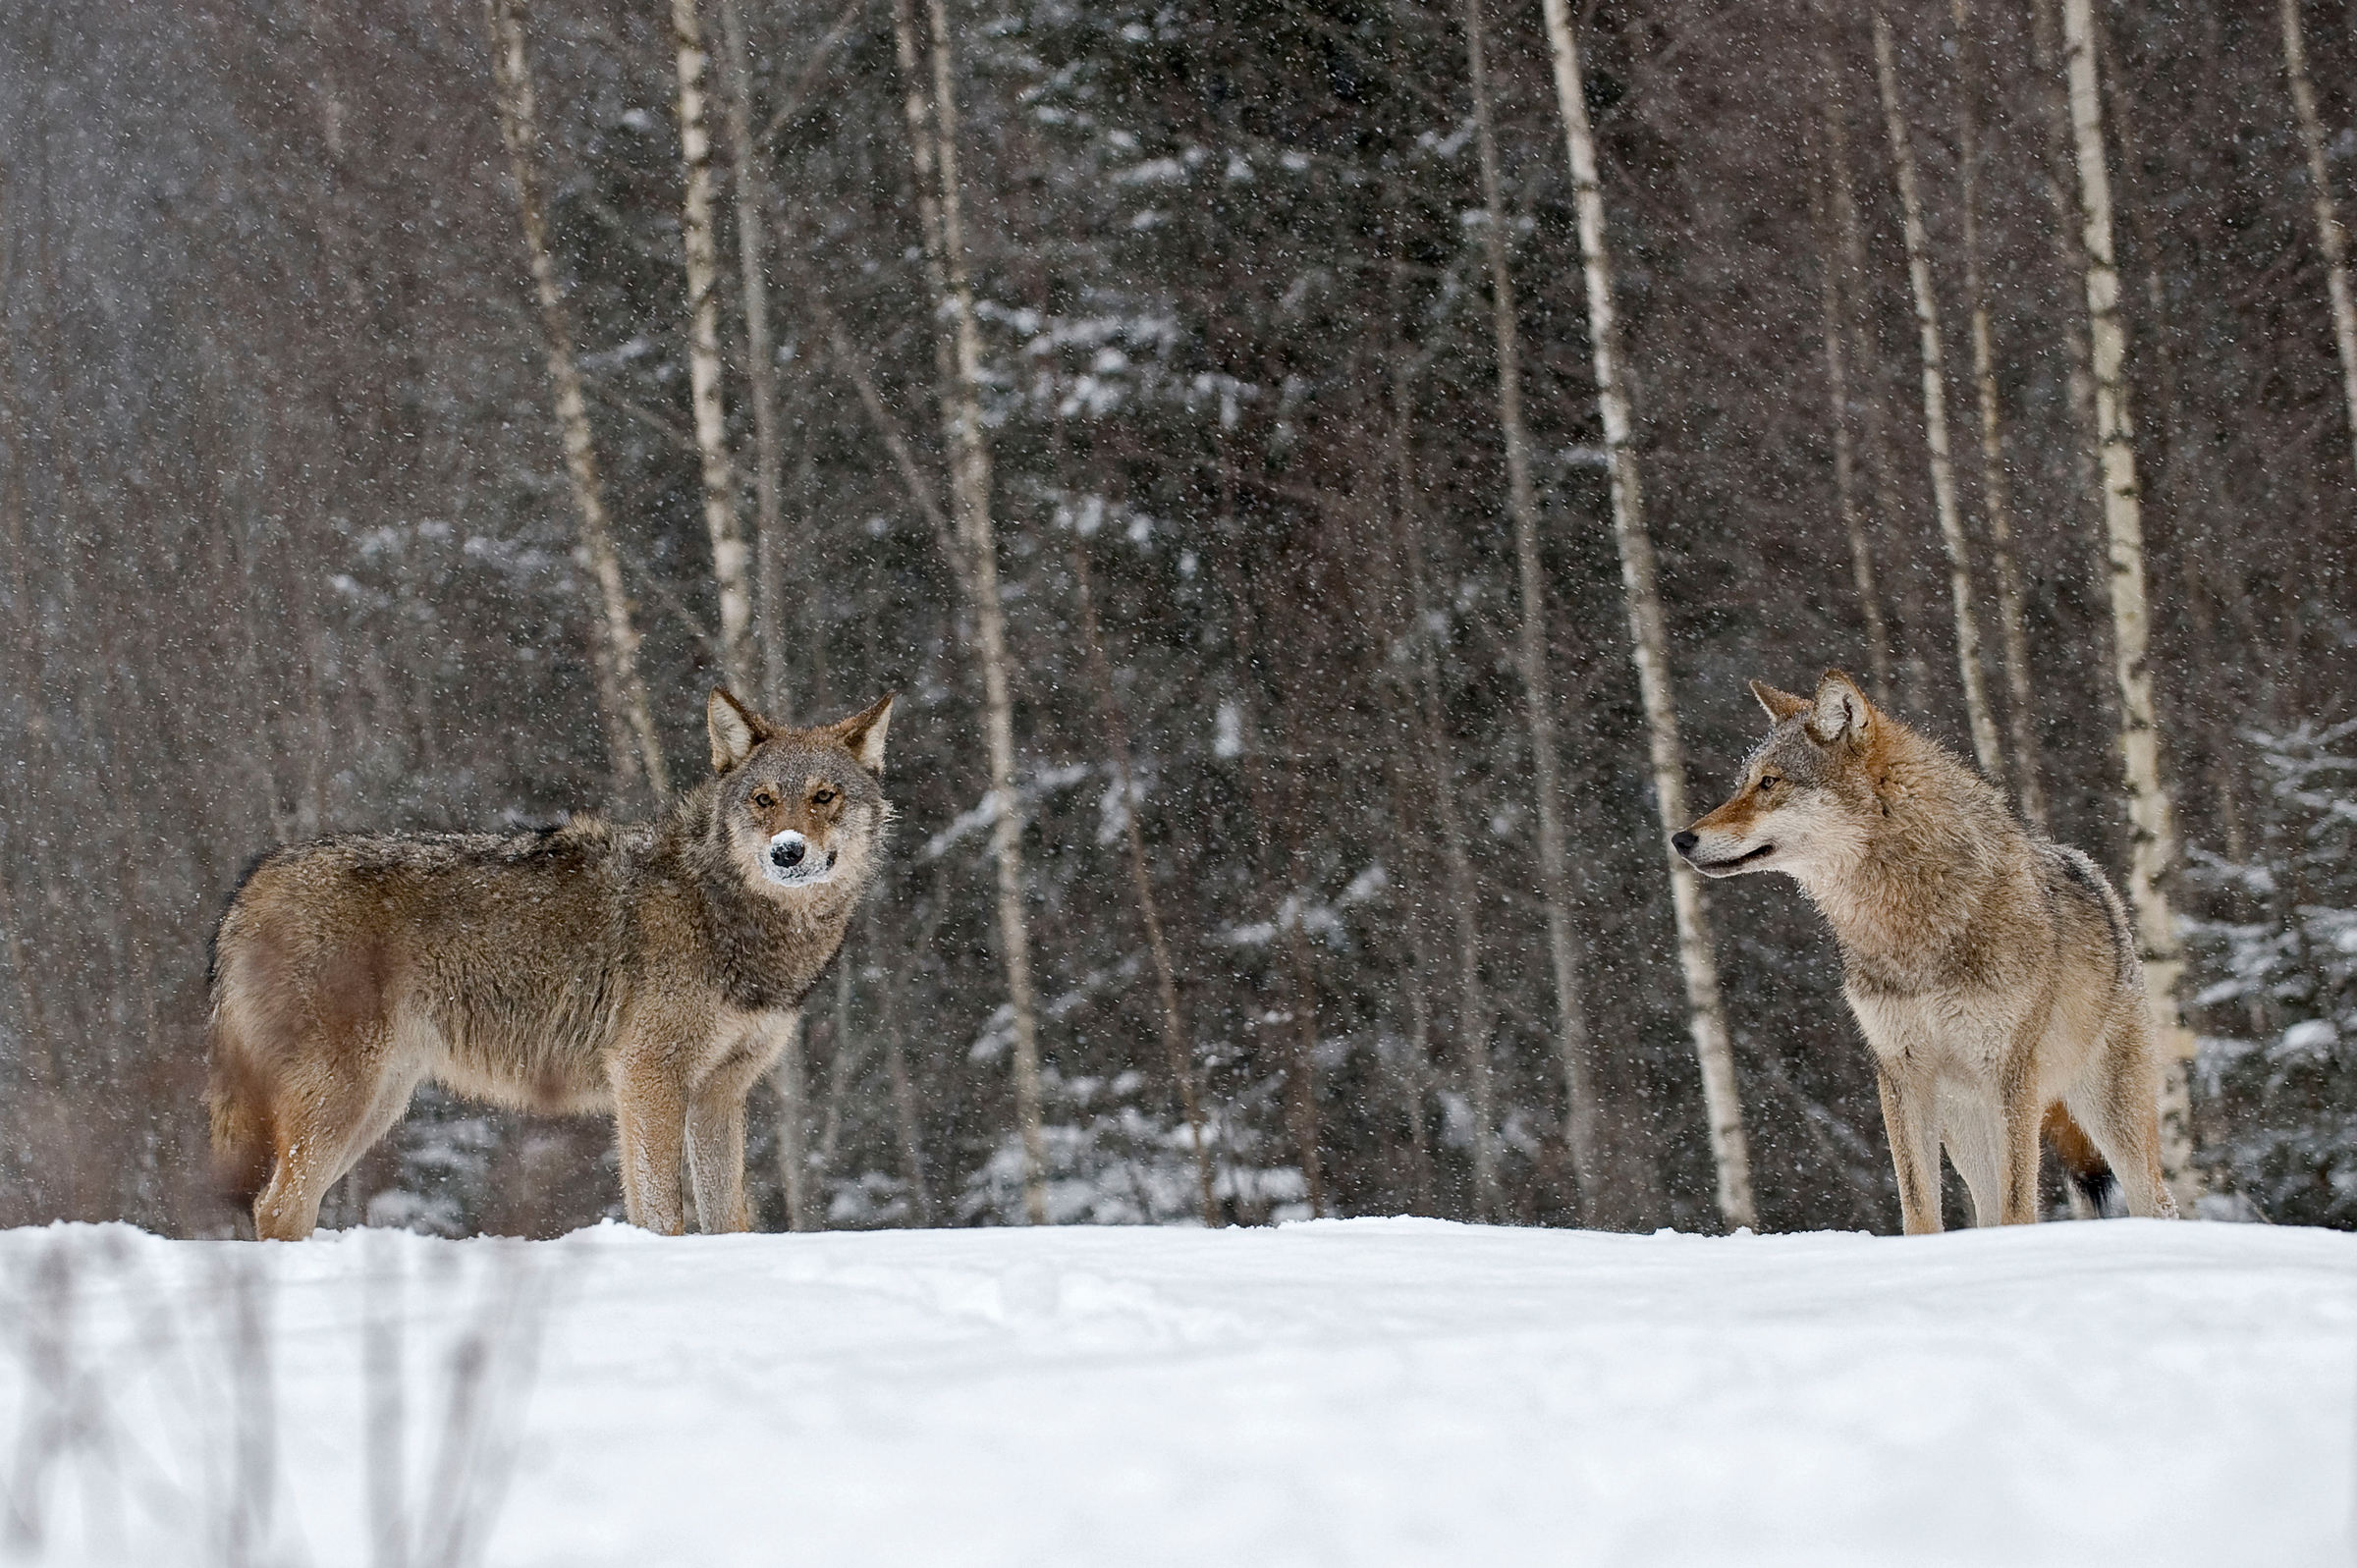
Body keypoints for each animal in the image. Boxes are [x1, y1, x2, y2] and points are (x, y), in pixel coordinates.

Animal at [204, 683, 891, 1235]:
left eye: (825, 796)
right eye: (764, 799)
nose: (787, 852)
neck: (726, 910)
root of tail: (255, 880)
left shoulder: (720, 1093)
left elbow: (730, 1221)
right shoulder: (646, 1076)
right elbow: (662, 1215)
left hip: (378, 1105)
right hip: (343, 1098)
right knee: (277, 1206)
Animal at [1669, 665, 2177, 1225]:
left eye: (1769, 782)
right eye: (1745, 782)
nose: (1681, 839)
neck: (1906, 926)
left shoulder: (2011, 1076)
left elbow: (2020, 1208)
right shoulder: (1899, 1074)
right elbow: (1919, 1210)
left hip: (2106, 1117)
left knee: (2159, 1202)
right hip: (1965, 1127)